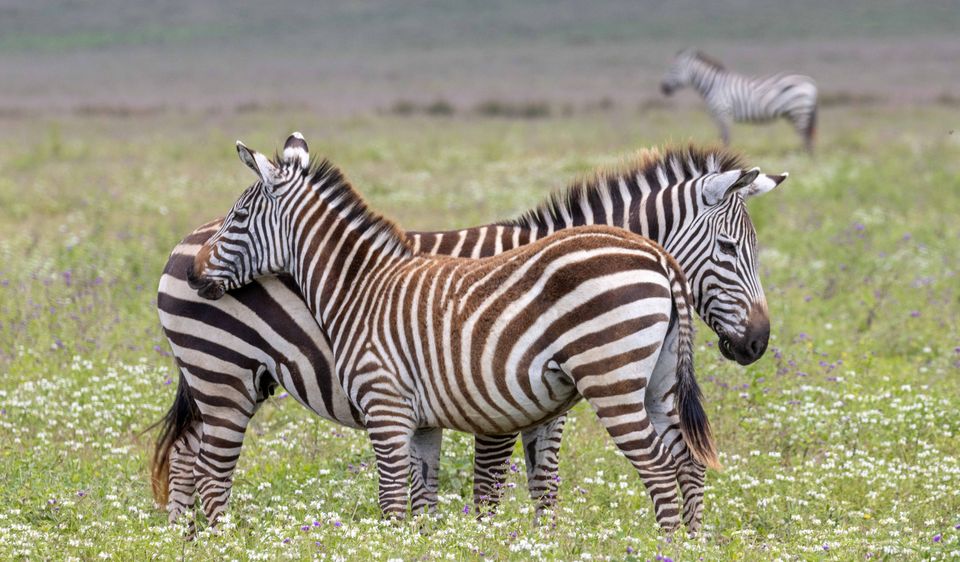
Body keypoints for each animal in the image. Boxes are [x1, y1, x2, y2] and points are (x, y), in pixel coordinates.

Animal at [153, 137, 787, 533]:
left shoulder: (531, 403)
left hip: (227, 379)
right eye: (730, 248)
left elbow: (538, 487)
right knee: (204, 470)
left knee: (188, 461)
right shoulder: (496, 402)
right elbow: (486, 491)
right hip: (222, 374)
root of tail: (186, 242)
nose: (757, 344)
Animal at [661, 49, 818, 153]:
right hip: (794, 113)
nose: (662, 89)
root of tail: (810, 81)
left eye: (673, 69)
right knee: (806, 136)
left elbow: (725, 138)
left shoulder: (723, 113)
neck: (714, 85)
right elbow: (722, 137)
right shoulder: (718, 116)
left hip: (799, 110)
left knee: (806, 136)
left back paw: (805, 158)